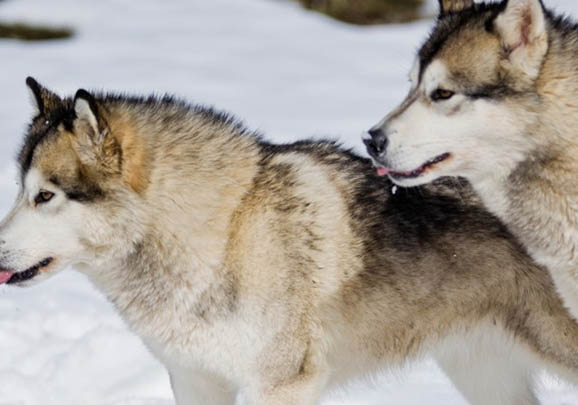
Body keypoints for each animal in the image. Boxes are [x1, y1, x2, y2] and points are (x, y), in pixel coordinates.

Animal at [3, 78, 576, 404]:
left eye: (46, 196)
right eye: (21, 191)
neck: (224, 231)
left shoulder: (282, 385)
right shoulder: (195, 381)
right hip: (482, 373)